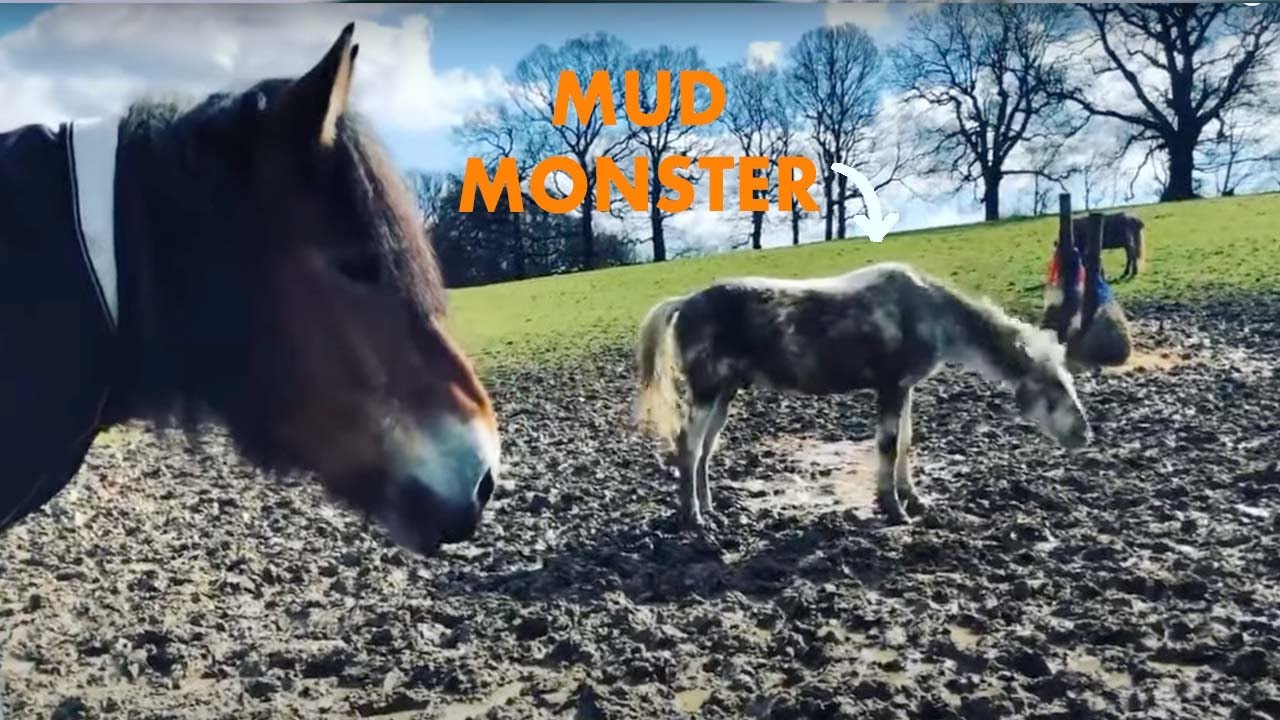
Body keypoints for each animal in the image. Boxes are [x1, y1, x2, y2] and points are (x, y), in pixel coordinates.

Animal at [635, 262, 1091, 529]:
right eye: (1056, 387)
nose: (1085, 435)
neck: (928, 312)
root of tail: (684, 302)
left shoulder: (905, 387)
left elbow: (906, 443)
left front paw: (915, 501)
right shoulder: (890, 386)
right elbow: (888, 446)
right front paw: (894, 510)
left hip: (724, 394)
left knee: (705, 451)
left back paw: (710, 510)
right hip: (705, 391)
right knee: (687, 447)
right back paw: (693, 518)